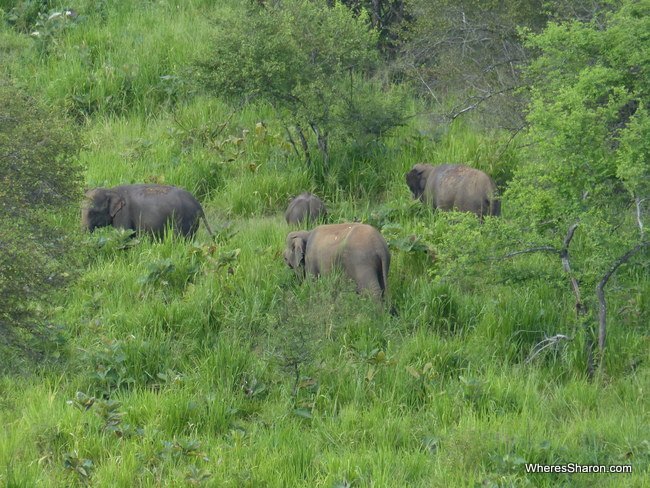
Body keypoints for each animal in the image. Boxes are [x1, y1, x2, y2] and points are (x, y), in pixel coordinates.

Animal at [80, 183, 213, 238]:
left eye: (93, 212)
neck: (111, 190)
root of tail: (197, 204)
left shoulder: (123, 213)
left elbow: (124, 236)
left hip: (183, 219)